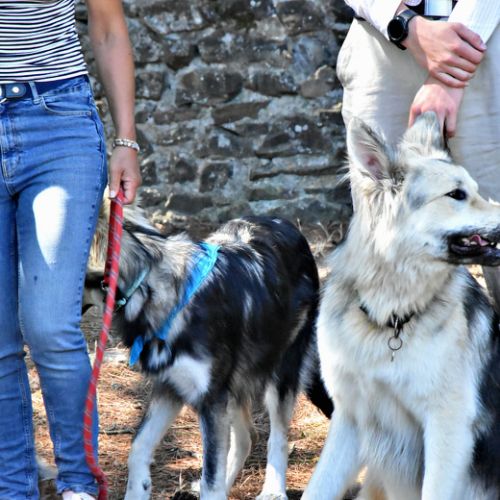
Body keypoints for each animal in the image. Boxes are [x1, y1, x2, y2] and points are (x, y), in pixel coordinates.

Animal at [84, 204, 333, 500]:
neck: (153, 291)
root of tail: (288, 225)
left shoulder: (211, 399)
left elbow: (211, 477)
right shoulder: (170, 387)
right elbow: (138, 447)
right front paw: (139, 488)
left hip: (279, 375)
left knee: (278, 437)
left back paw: (273, 491)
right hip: (235, 383)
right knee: (248, 437)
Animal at [303, 112, 500, 500]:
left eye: (473, 189)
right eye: (457, 195)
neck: (390, 318)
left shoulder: (447, 427)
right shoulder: (351, 418)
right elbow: (317, 489)